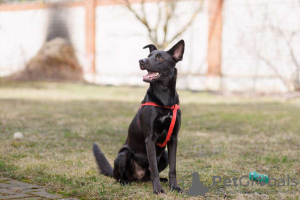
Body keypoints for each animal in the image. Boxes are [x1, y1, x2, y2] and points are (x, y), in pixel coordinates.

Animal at [92, 39, 184, 194]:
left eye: (160, 58)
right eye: (148, 55)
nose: (141, 61)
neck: (164, 97)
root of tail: (138, 177)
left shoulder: (174, 138)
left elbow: (173, 168)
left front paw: (174, 187)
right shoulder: (150, 138)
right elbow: (154, 168)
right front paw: (157, 190)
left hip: (164, 156)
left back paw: (162, 180)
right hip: (123, 155)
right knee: (119, 177)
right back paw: (124, 181)